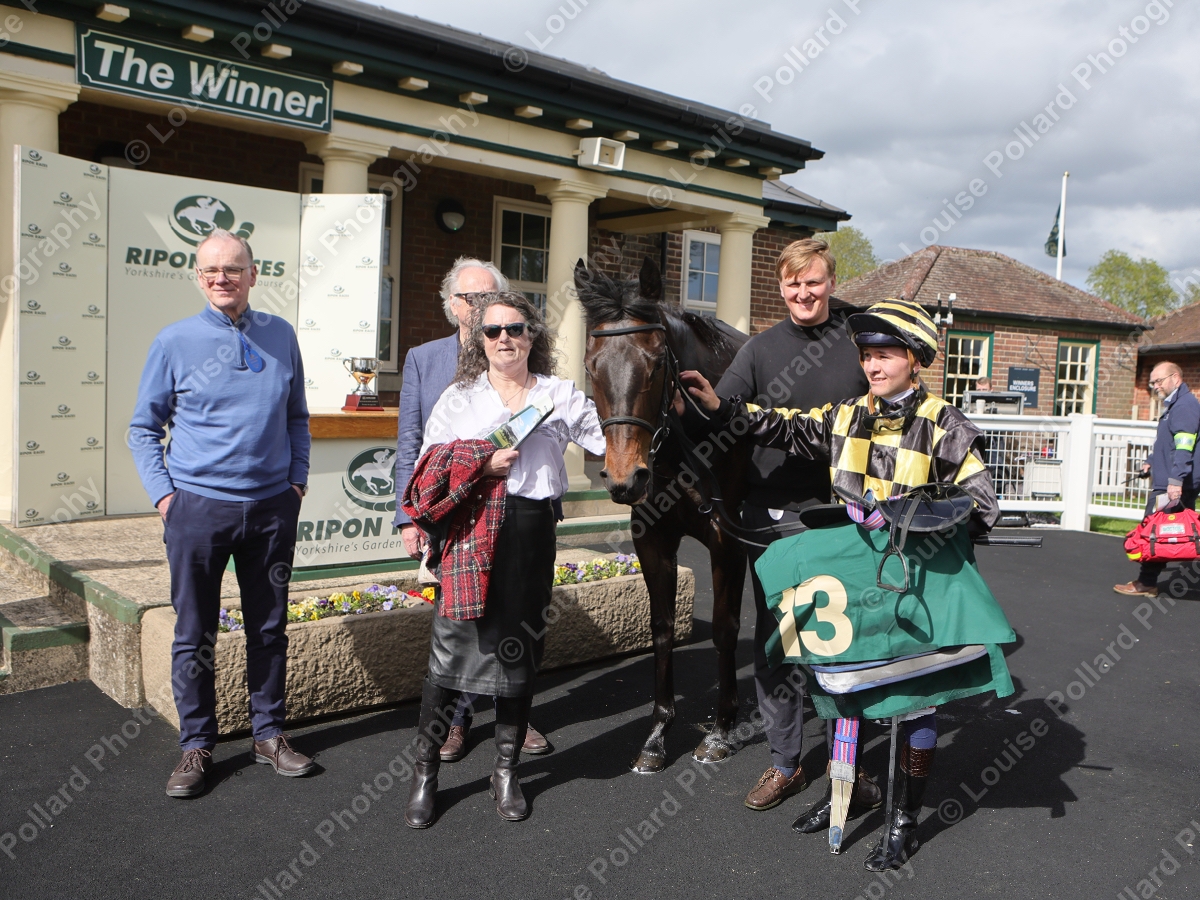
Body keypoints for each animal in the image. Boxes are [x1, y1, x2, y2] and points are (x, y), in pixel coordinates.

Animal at [577, 257, 755, 773]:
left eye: (656, 363)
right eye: (591, 366)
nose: (624, 478)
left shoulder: (728, 539)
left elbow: (724, 629)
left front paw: (721, 728)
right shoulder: (652, 539)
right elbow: (661, 630)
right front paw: (657, 734)